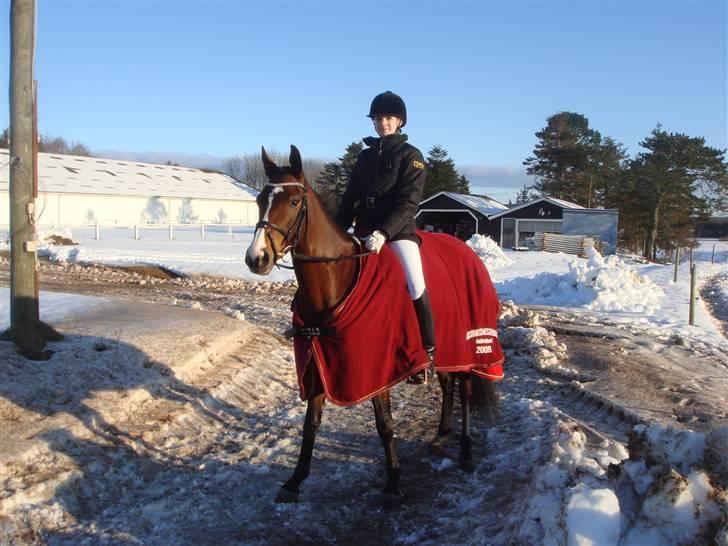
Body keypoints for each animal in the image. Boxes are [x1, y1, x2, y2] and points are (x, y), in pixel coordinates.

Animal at [242, 146, 498, 506]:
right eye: (260, 200)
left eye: (293, 202)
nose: (257, 258)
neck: (337, 279)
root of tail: (468, 252)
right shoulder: (319, 363)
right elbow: (311, 425)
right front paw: (294, 480)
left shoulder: (379, 369)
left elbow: (385, 425)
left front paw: (392, 482)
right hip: (447, 350)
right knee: (448, 384)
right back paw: (441, 436)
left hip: (468, 345)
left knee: (466, 389)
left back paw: (466, 450)